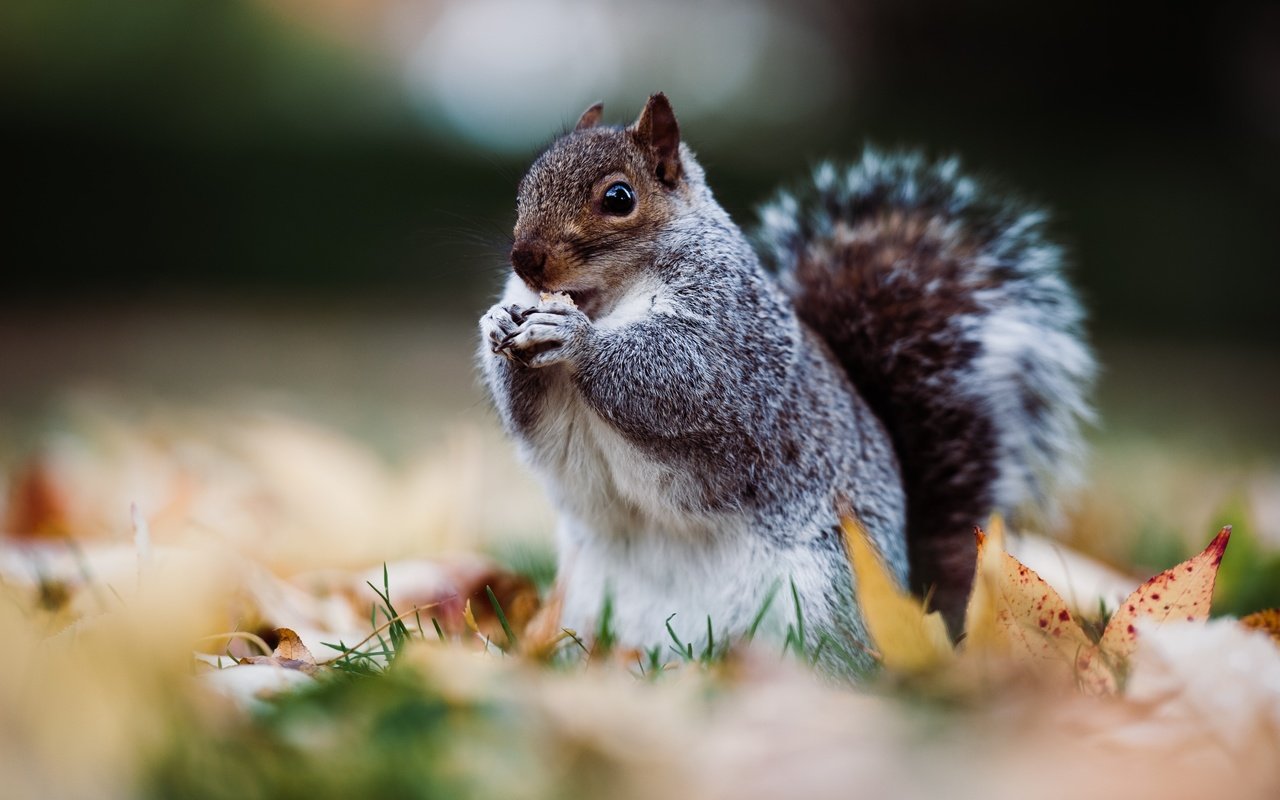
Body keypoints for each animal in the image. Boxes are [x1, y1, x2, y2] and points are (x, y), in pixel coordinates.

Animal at [478, 92, 1090, 665]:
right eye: (525, 186)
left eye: (619, 198)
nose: (524, 258)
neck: (604, 299)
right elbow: (533, 419)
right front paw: (497, 324)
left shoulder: (732, 333)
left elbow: (683, 376)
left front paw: (575, 338)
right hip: (585, 592)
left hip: (819, 592)